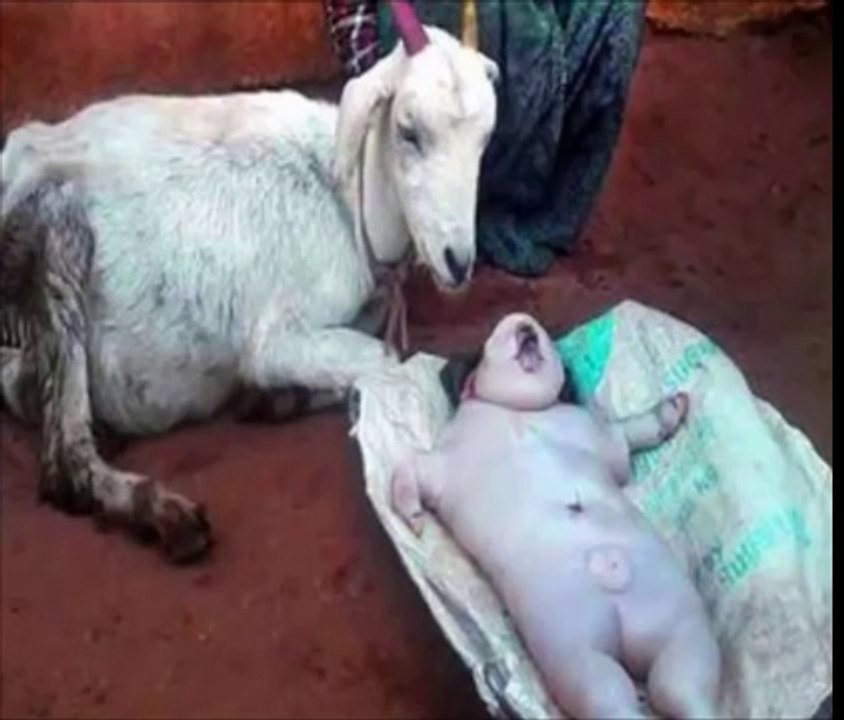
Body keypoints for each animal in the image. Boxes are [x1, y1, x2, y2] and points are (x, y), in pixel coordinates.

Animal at [0, 4, 499, 563]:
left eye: (485, 139)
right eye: (409, 131)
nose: (458, 261)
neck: (347, 202)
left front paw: (273, 398)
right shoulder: (278, 334)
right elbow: (389, 362)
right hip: (56, 229)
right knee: (63, 464)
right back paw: (169, 515)